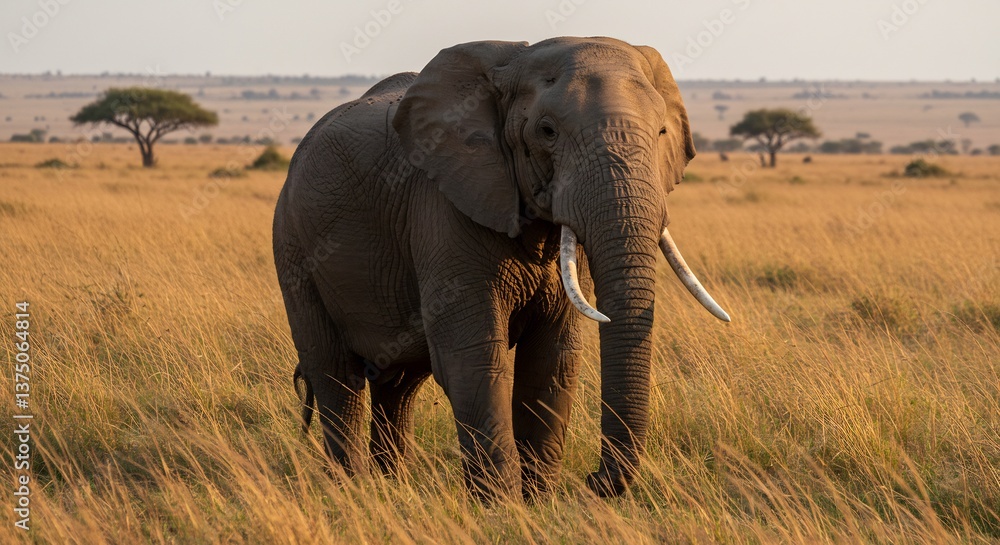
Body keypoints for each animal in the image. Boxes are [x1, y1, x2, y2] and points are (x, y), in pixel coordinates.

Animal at [272, 37, 730, 499]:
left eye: (661, 133)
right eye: (547, 131)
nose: (592, 481)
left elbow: (551, 360)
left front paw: (538, 501)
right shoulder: (443, 207)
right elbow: (473, 357)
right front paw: (500, 506)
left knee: (398, 385)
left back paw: (392, 487)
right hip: (292, 246)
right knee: (336, 375)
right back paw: (353, 490)